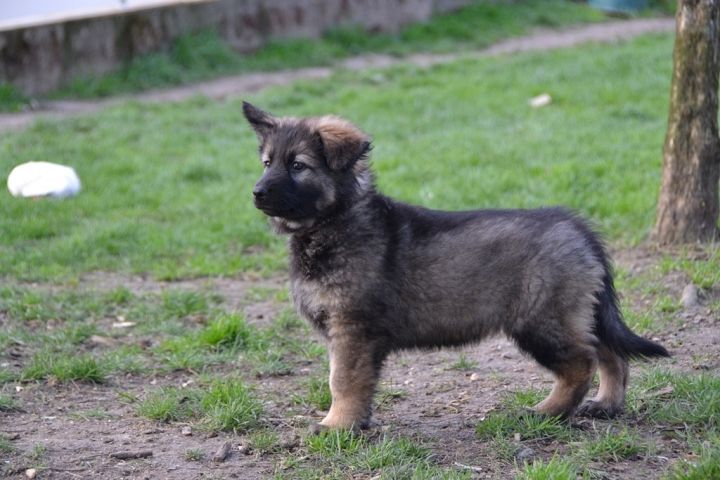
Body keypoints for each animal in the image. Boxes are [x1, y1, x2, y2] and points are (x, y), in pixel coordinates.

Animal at [242, 102, 669, 430]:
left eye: (298, 166)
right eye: (266, 162)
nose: (257, 192)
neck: (334, 219)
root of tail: (578, 227)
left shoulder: (352, 329)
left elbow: (342, 381)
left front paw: (336, 426)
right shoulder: (345, 333)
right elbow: (351, 382)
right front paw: (354, 423)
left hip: (542, 319)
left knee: (582, 362)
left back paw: (548, 411)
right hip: (581, 311)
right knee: (610, 352)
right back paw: (606, 404)